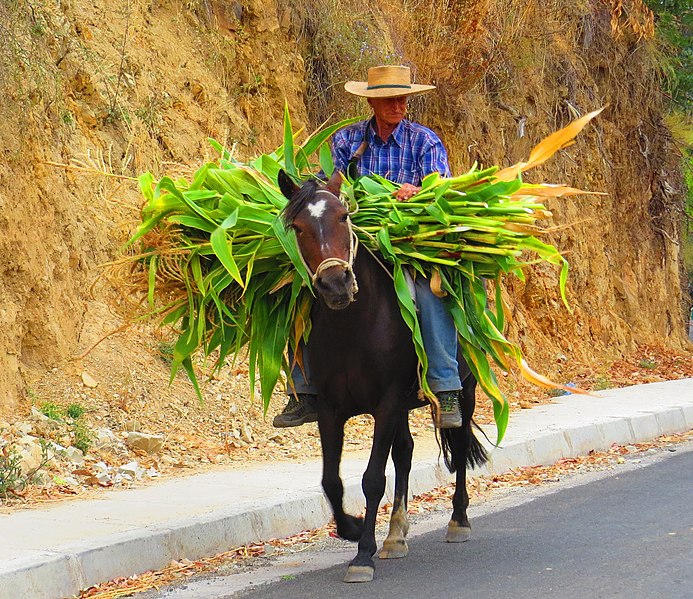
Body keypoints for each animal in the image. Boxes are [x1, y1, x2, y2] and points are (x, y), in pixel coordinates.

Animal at [278, 171, 486, 584]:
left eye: (343, 215)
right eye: (298, 227)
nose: (336, 284)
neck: (354, 327)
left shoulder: (386, 403)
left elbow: (372, 479)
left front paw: (362, 555)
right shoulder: (331, 409)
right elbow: (332, 481)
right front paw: (355, 528)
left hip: (464, 389)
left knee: (457, 442)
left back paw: (458, 520)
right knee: (405, 452)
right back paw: (395, 535)